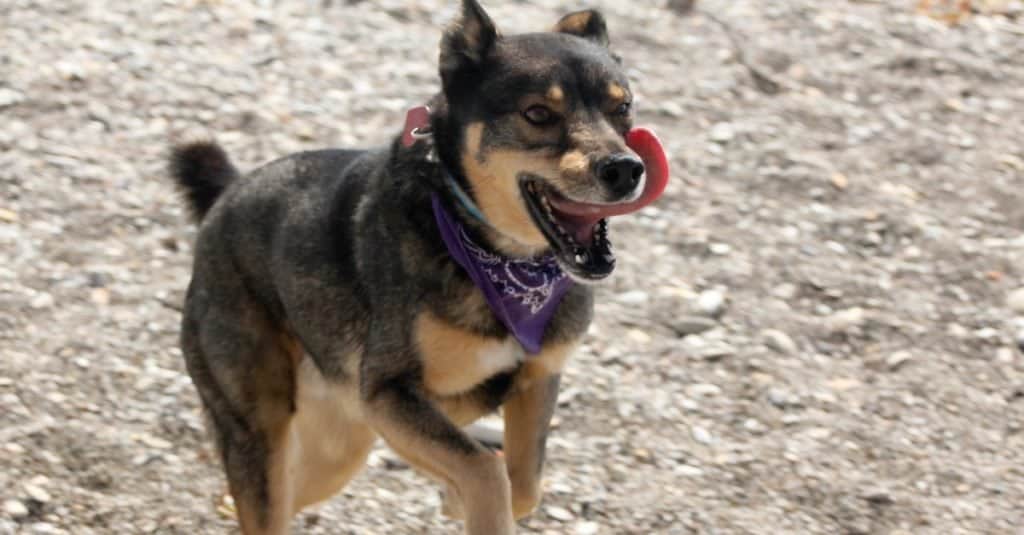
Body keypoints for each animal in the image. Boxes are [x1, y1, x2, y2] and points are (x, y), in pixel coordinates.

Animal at [165, 2, 663, 528]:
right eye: (538, 114)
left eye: (622, 107)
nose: (625, 169)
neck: (500, 260)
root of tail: (227, 195)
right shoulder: (388, 393)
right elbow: (486, 472)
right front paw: (469, 499)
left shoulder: (537, 377)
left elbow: (523, 482)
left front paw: (456, 499)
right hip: (262, 428)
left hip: (337, 448)